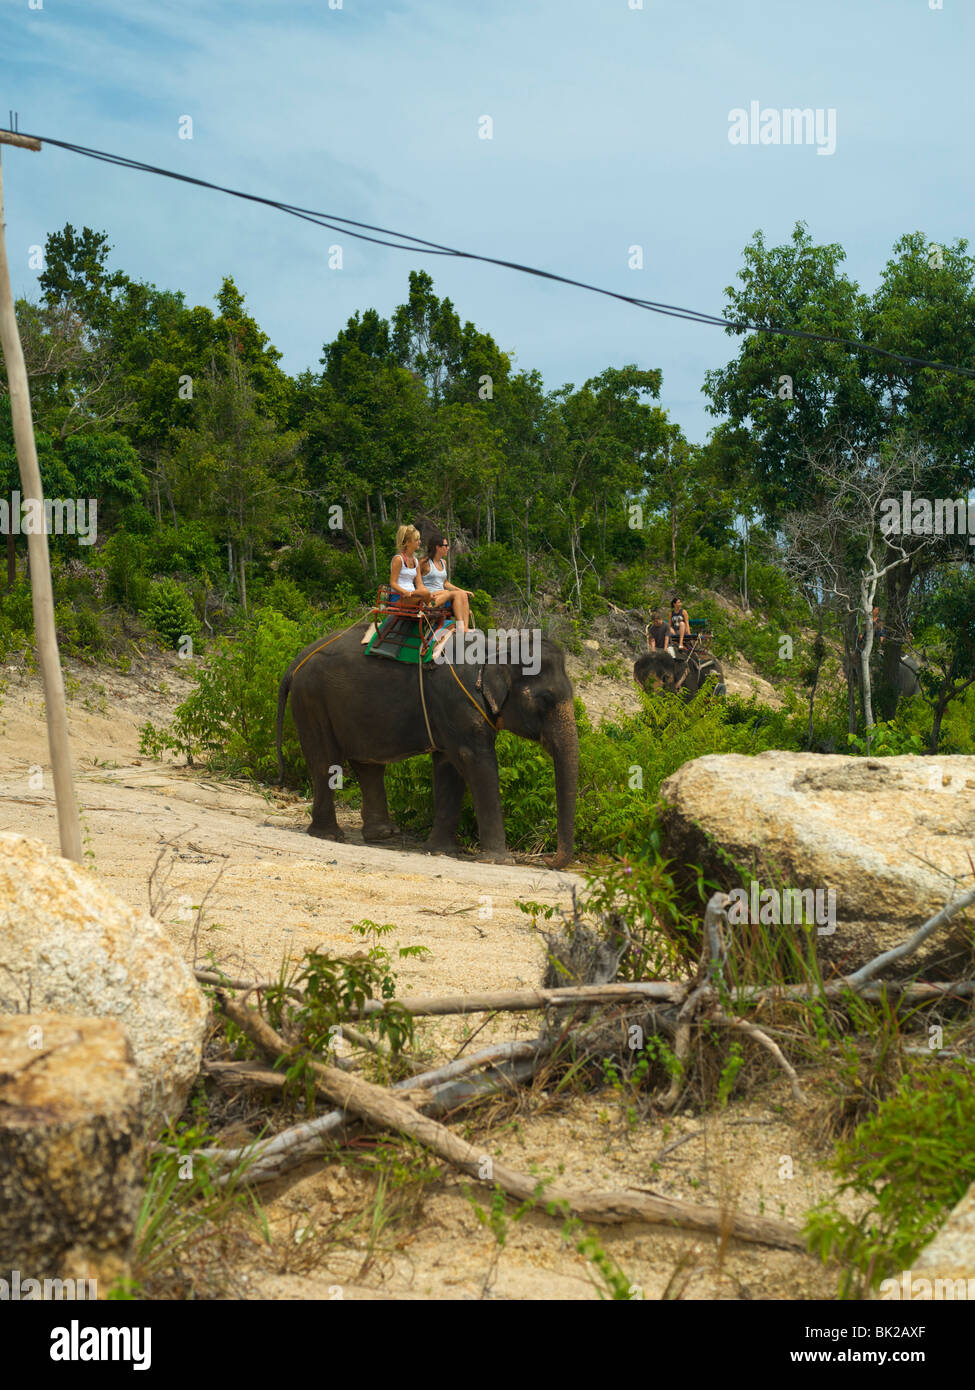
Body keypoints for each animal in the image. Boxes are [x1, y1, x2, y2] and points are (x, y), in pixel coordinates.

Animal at [275, 622, 578, 861]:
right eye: (546, 700)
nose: (549, 859)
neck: (498, 649)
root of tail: (297, 659)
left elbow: (450, 765)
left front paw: (441, 851)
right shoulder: (458, 701)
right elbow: (473, 759)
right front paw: (499, 860)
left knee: (367, 763)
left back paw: (382, 835)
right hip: (312, 699)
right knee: (325, 760)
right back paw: (330, 835)